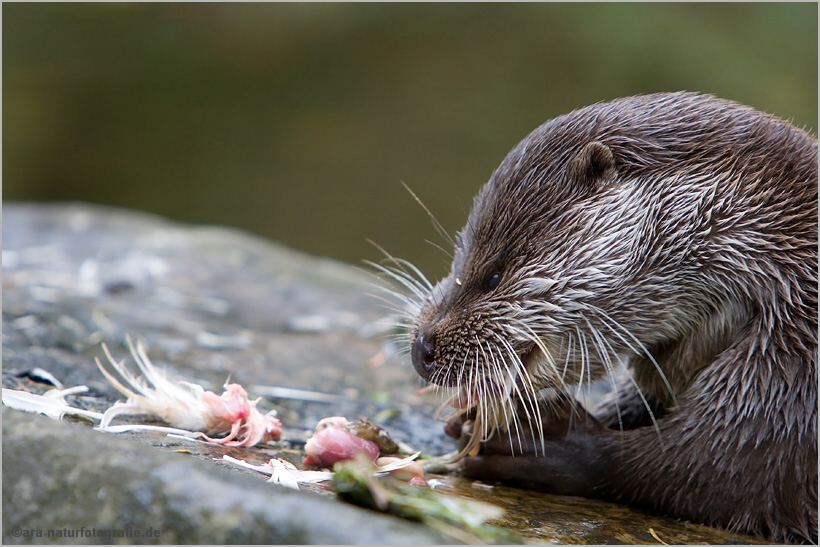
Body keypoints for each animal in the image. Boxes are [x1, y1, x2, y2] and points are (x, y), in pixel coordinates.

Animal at [406, 92, 816, 540]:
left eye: (493, 275)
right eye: (459, 253)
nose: (420, 348)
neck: (791, 268)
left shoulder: (792, 387)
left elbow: (716, 467)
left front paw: (544, 441)